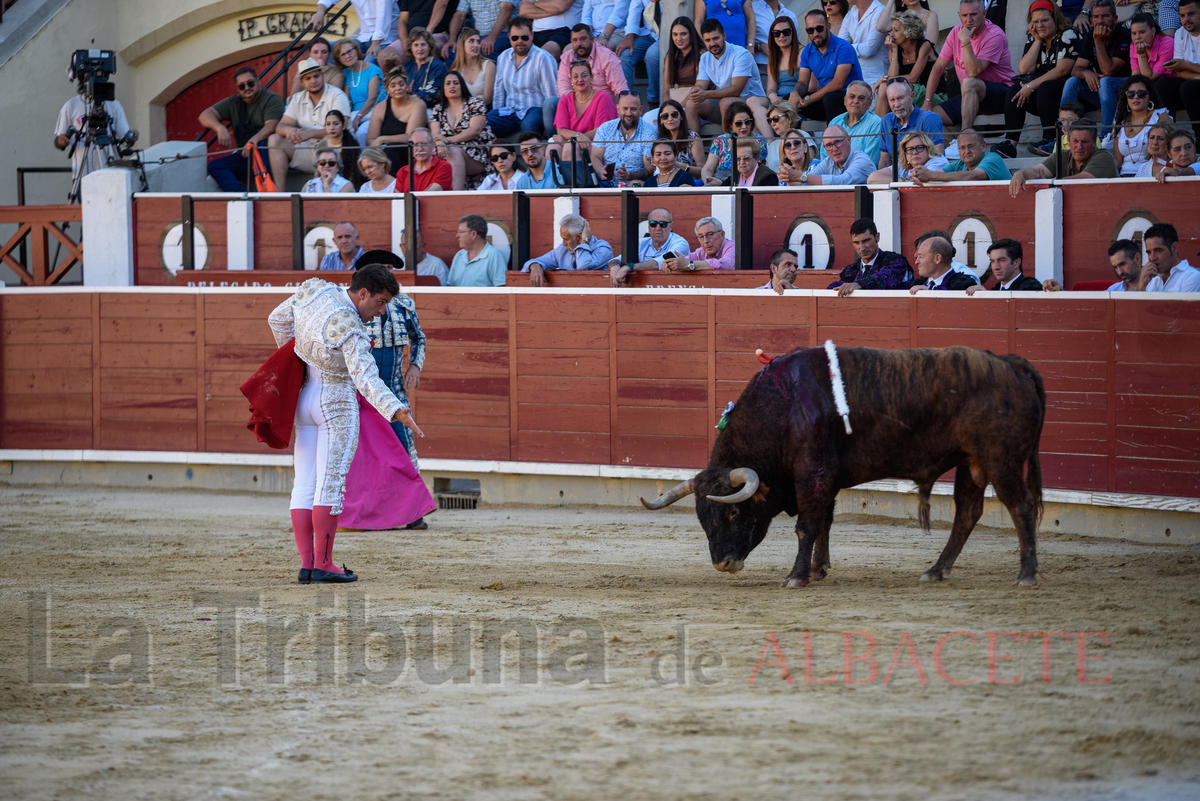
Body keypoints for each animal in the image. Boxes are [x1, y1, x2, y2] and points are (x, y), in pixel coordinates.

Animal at [643, 345, 1046, 587]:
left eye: (732, 513)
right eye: (702, 517)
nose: (722, 563)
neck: (783, 408)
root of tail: (1013, 364)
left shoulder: (812, 474)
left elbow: (807, 525)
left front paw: (797, 577)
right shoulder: (827, 480)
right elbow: (824, 523)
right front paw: (818, 569)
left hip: (1002, 461)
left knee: (1020, 507)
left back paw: (1026, 575)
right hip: (972, 464)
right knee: (967, 513)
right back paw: (935, 571)